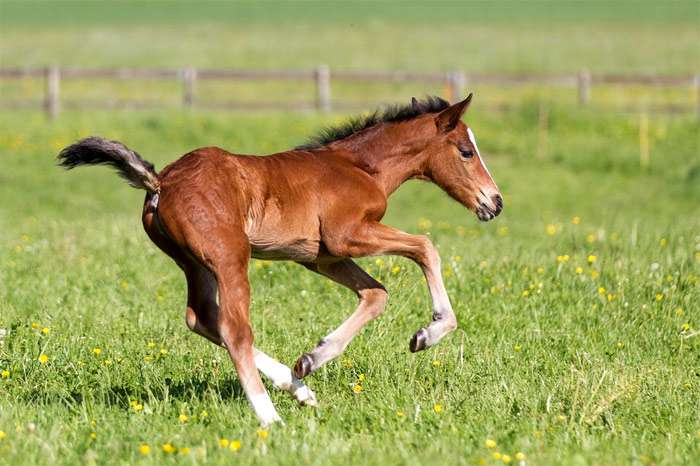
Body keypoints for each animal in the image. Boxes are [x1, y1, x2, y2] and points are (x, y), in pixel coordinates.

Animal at [57, 94, 500, 426]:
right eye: (466, 151)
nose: (494, 202)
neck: (360, 167)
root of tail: (161, 182)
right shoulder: (348, 236)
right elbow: (425, 246)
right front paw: (431, 332)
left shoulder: (321, 258)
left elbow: (376, 294)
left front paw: (311, 359)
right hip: (229, 257)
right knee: (234, 328)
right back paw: (270, 417)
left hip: (194, 263)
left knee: (202, 317)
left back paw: (298, 388)